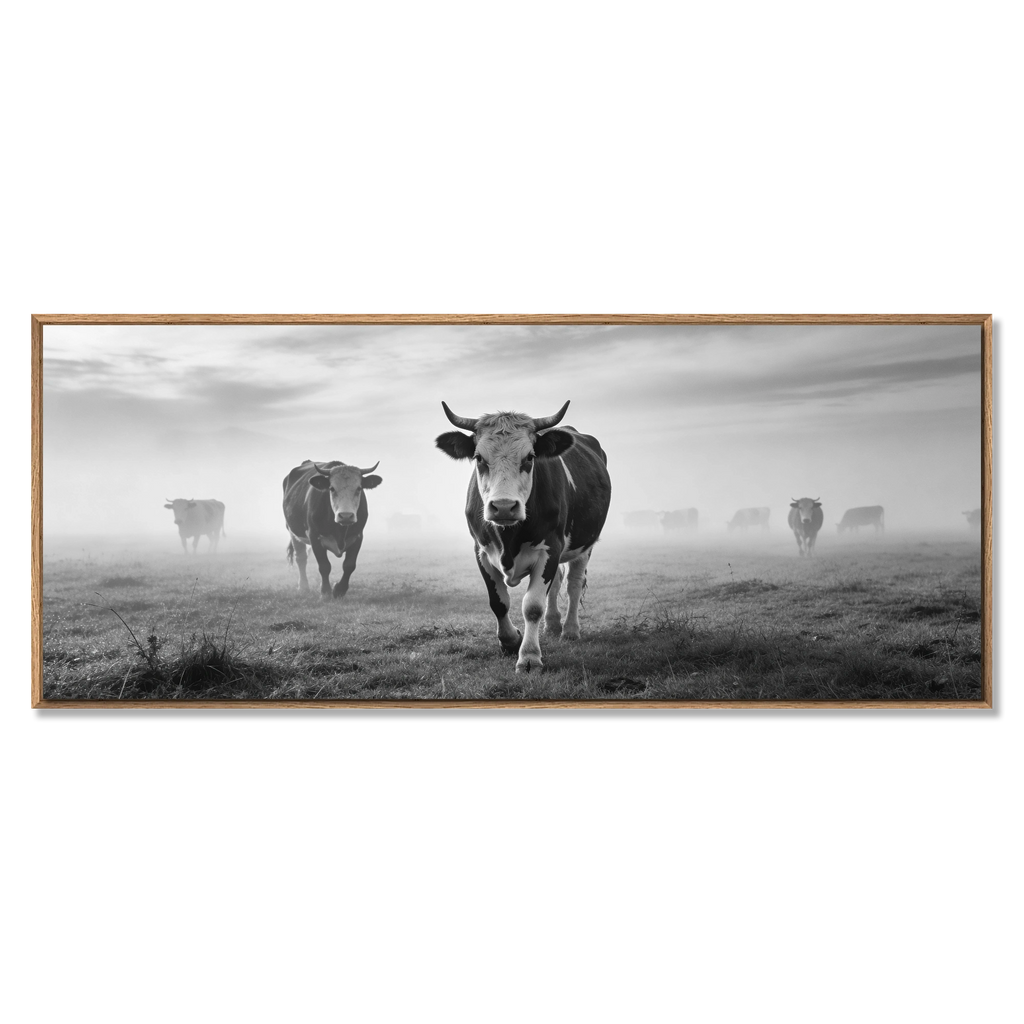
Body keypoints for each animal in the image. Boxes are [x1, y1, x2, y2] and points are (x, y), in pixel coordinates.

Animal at [282, 459, 382, 600]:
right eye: (332, 488)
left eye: (359, 488)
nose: (346, 515)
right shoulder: (315, 537)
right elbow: (324, 566)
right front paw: (325, 592)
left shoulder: (358, 537)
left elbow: (349, 565)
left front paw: (339, 589)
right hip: (293, 532)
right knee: (301, 558)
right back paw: (303, 587)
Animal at [435, 400, 611, 674]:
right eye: (478, 457)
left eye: (530, 457)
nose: (504, 507)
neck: (508, 539)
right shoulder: (481, 551)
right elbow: (498, 602)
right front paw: (510, 641)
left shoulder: (550, 548)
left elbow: (532, 606)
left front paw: (529, 656)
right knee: (557, 584)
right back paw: (553, 625)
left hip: (585, 544)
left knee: (573, 583)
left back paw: (570, 630)